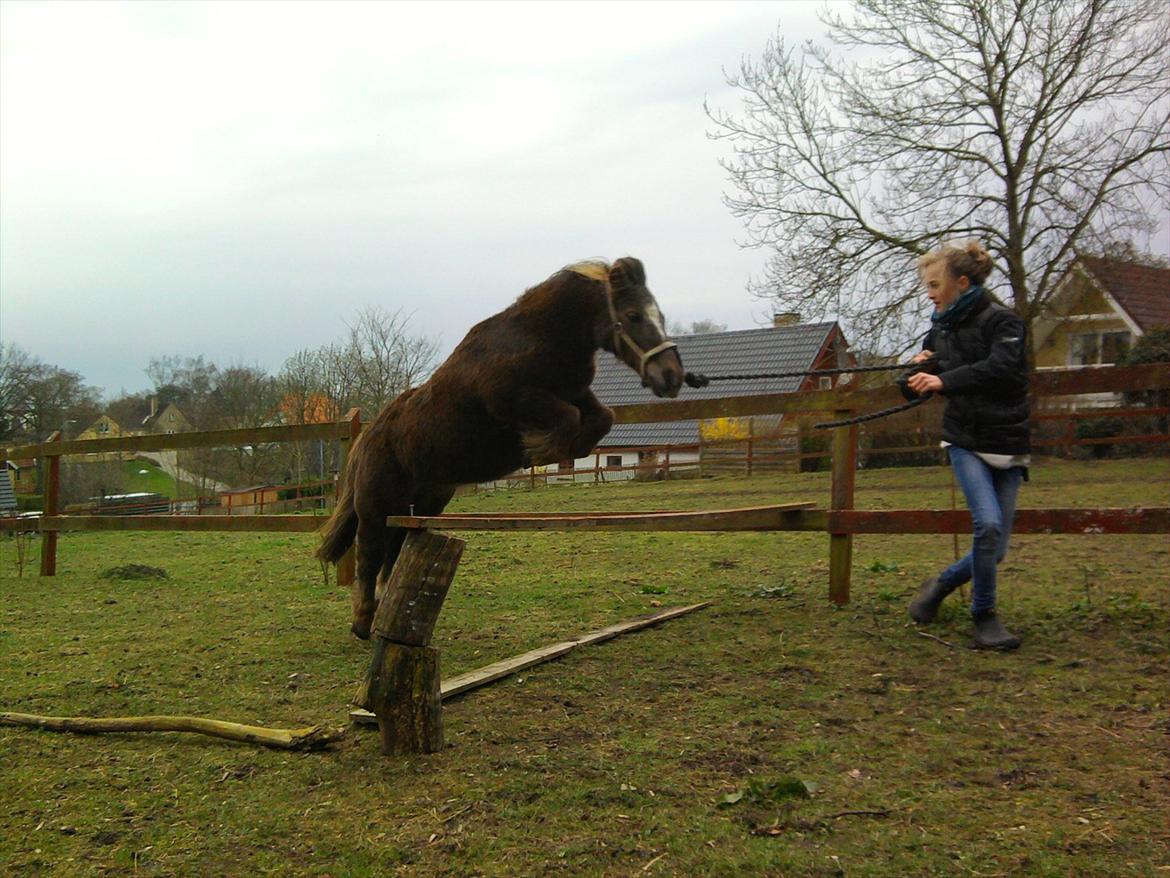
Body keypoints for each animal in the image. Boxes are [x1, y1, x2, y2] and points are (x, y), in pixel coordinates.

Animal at [318, 256, 683, 641]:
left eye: (659, 315)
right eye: (633, 315)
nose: (671, 376)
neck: (538, 339)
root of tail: (369, 436)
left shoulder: (578, 394)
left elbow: (603, 417)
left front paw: (556, 449)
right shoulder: (512, 401)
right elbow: (568, 418)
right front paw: (540, 451)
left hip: (416, 508)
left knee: (391, 556)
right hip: (375, 509)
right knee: (368, 558)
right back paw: (362, 623)